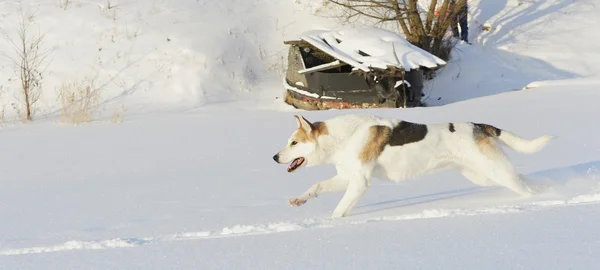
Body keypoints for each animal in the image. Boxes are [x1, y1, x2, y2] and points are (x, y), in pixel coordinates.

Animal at [272, 113, 552, 217]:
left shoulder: (359, 182)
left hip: (494, 171)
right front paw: (299, 200)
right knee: (525, 181)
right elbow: (316, 186)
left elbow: (339, 210)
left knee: (524, 187)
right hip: (483, 175)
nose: (274, 157)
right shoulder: (346, 178)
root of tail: (479, 126)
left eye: (294, 142)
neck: (345, 137)